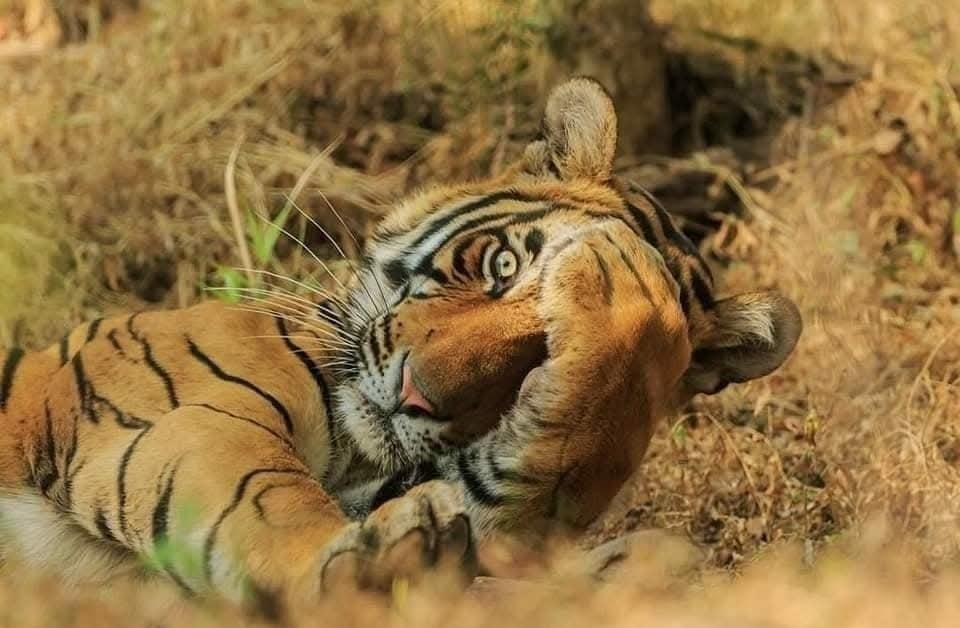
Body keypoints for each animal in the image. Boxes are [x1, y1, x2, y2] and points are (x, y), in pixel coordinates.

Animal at [0, 78, 801, 609]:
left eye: (541, 360)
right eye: (501, 265)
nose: (418, 396)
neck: (359, 453)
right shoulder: (185, 415)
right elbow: (262, 495)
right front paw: (365, 563)